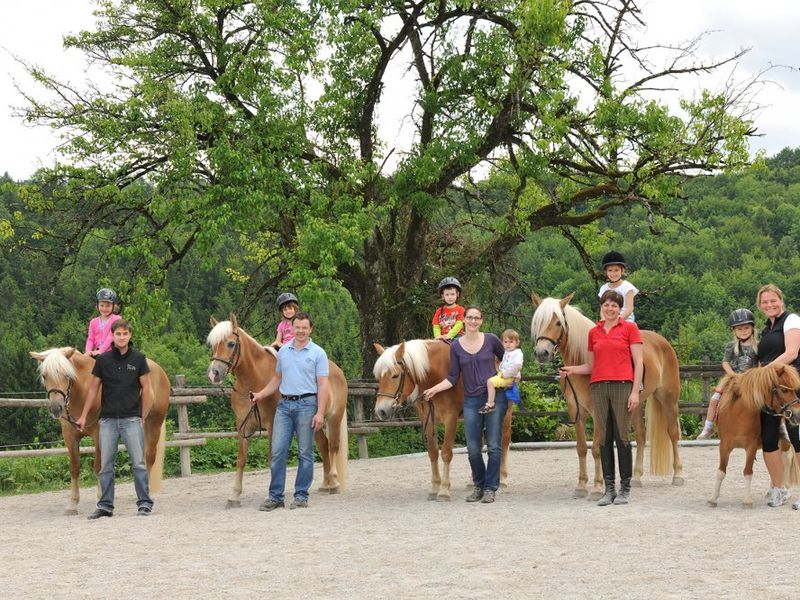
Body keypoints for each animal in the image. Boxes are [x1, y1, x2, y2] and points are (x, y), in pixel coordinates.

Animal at [29, 346, 169, 516]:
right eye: (45, 376)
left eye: (67, 375)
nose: (56, 408)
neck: (83, 393)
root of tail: (159, 370)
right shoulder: (70, 436)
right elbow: (74, 468)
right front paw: (72, 504)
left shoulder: (99, 433)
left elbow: (98, 467)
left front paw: (100, 499)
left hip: (154, 424)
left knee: (149, 457)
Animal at [206, 314, 346, 506]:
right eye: (212, 344)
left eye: (231, 344)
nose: (214, 374)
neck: (255, 381)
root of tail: (337, 370)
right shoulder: (243, 425)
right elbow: (241, 459)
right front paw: (234, 496)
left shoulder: (273, 423)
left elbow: (273, 457)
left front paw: (272, 495)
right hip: (314, 423)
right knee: (323, 446)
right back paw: (326, 484)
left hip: (334, 417)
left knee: (333, 446)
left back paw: (335, 482)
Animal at [532, 292, 680, 496]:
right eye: (537, 322)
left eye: (558, 323)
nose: (542, 353)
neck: (584, 361)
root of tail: (663, 342)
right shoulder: (576, 411)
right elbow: (581, 448)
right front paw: (581, 486)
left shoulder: (597, 411)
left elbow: (596, 448)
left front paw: (596, 487)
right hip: (634, 404)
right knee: (641, 436)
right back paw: (636, 478)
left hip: (668, 399)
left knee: (673, 433)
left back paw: (678, 476)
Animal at [708, 364, 800, 508]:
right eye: (784, 390)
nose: (798, 414)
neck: (738, 415)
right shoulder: (724, 446)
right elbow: (721, 472)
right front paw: (713, 498)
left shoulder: (751, 447)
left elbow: (748, 471)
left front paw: (747, 500)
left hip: (784, 442)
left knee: (785, 461)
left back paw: (783, 491)